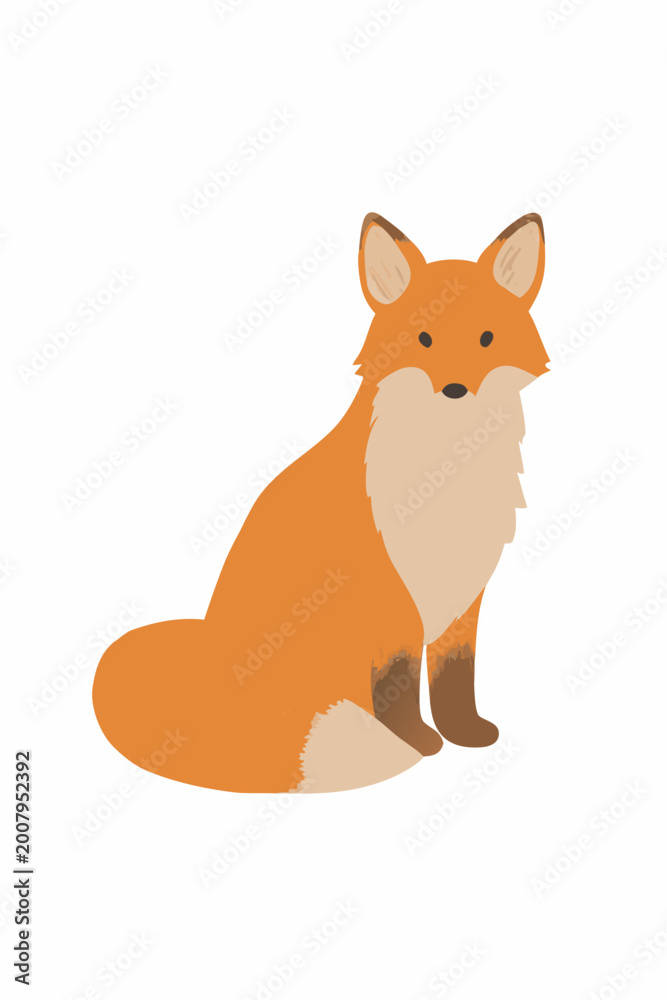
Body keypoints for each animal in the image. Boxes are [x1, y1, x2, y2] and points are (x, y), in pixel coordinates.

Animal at [93, 211, 549, 794]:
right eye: (423, 338)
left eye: (487, 339)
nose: (454, 390)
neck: (441, 476)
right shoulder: (388, 600)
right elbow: (398, 685)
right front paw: (419, 743)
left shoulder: (461, 593)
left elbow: (454, 676)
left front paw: (464, 734)